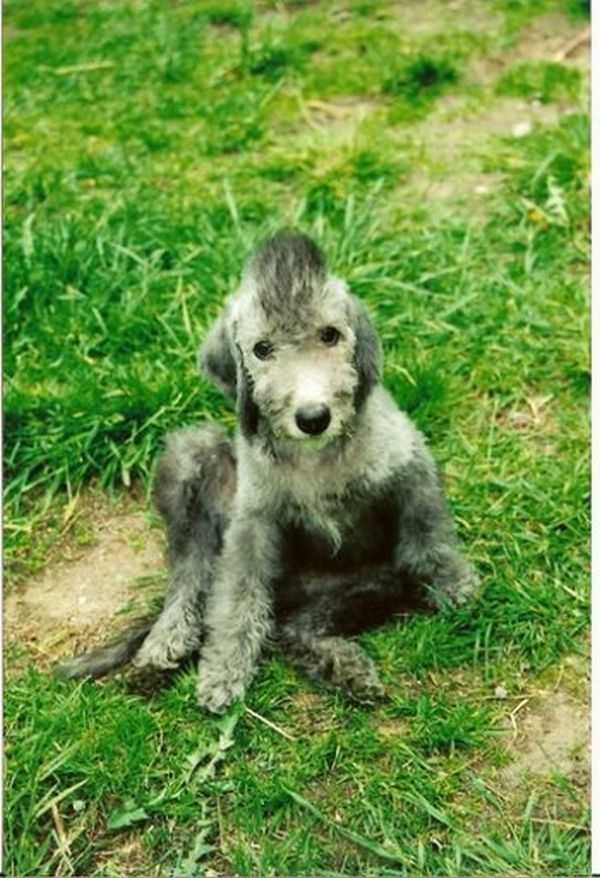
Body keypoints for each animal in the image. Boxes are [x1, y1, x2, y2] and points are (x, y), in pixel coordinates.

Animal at [57, 230, 478, 712]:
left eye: (330, 335)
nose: (313, 417)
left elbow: (428, 535)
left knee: (291, 629)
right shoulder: (251, 523)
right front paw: (223, 672)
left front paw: (455, 583)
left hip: (370, 582)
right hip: (191, 455)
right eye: (262, 349)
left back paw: (344, 669)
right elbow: (235, 598)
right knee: (193, 576)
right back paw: (166, 642)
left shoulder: (409, 462)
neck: (316, 455)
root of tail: (298, 590)